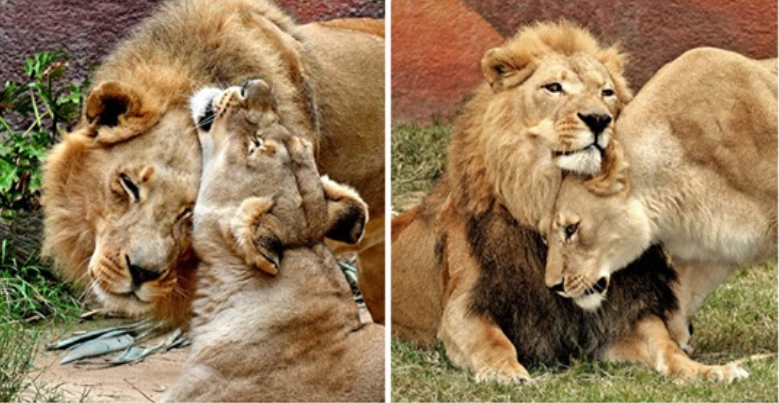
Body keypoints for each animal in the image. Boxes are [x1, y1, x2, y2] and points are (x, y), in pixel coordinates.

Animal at [394, 21, 748, 386]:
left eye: (607, 93)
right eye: (554, 88)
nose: (599, 119)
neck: (551, 195)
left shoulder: (621, 311)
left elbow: (665, 345)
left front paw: (711, 370)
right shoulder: (466, 306)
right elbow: (491, 341)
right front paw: (507, 373)